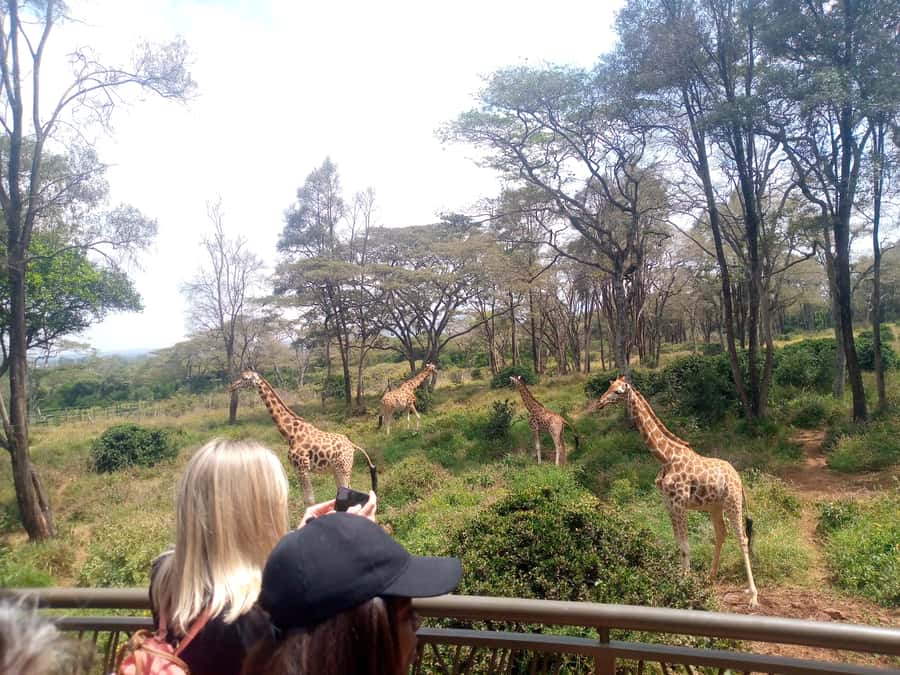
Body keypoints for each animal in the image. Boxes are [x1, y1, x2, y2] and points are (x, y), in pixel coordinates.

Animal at [229, 370, 377, 507]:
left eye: (245, 378)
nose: (231, 386)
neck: (290, 433)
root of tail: (352, 446)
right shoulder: (297, 469)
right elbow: (306, 500)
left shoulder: (302, 467)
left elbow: (310, 500)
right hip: (337, 470)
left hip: (343, 469)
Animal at [587, 376, 759, 607]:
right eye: (609, 387)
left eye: (618, 391)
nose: (600, 402)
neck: (665, 456)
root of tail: (739, 479)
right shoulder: (668, 504)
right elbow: (679, 544)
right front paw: (680, 580)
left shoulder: (679, 503)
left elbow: (685, 546)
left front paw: (686, 586)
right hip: (714, 506)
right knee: (721, 533)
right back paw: (710, 577)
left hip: (733, 502)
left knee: (742, 539)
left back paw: (753, 596)